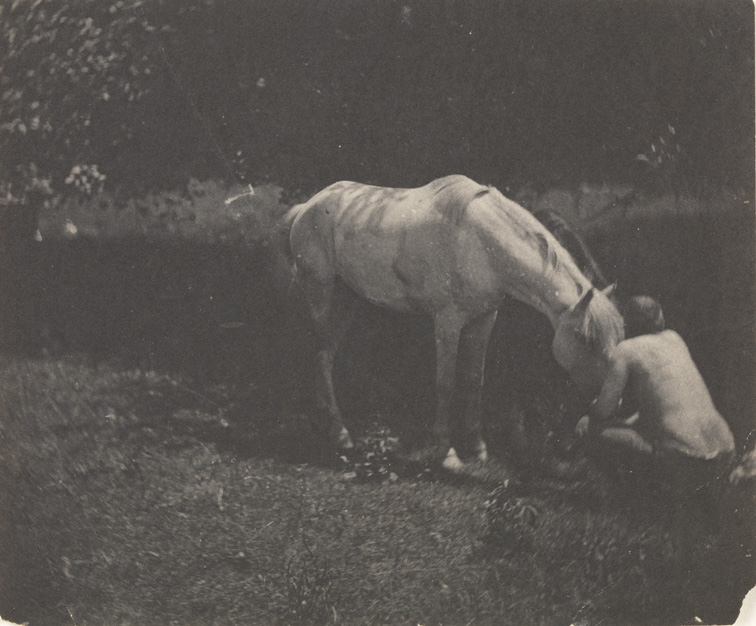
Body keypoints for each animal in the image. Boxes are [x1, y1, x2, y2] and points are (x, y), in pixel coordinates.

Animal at [282, 175, 624, 470]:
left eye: (617, 338)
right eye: (586, 339)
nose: (612, 400)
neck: (480, 243)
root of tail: (308, 206)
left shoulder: (484, 320)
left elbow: (474, 380)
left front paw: (477, 447)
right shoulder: (447, 322)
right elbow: (445, 383)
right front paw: (445, 452)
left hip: (347, 300)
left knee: (327, 356)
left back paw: (330, 426)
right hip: (321, 296)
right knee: (320, 356)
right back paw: (340, 434)